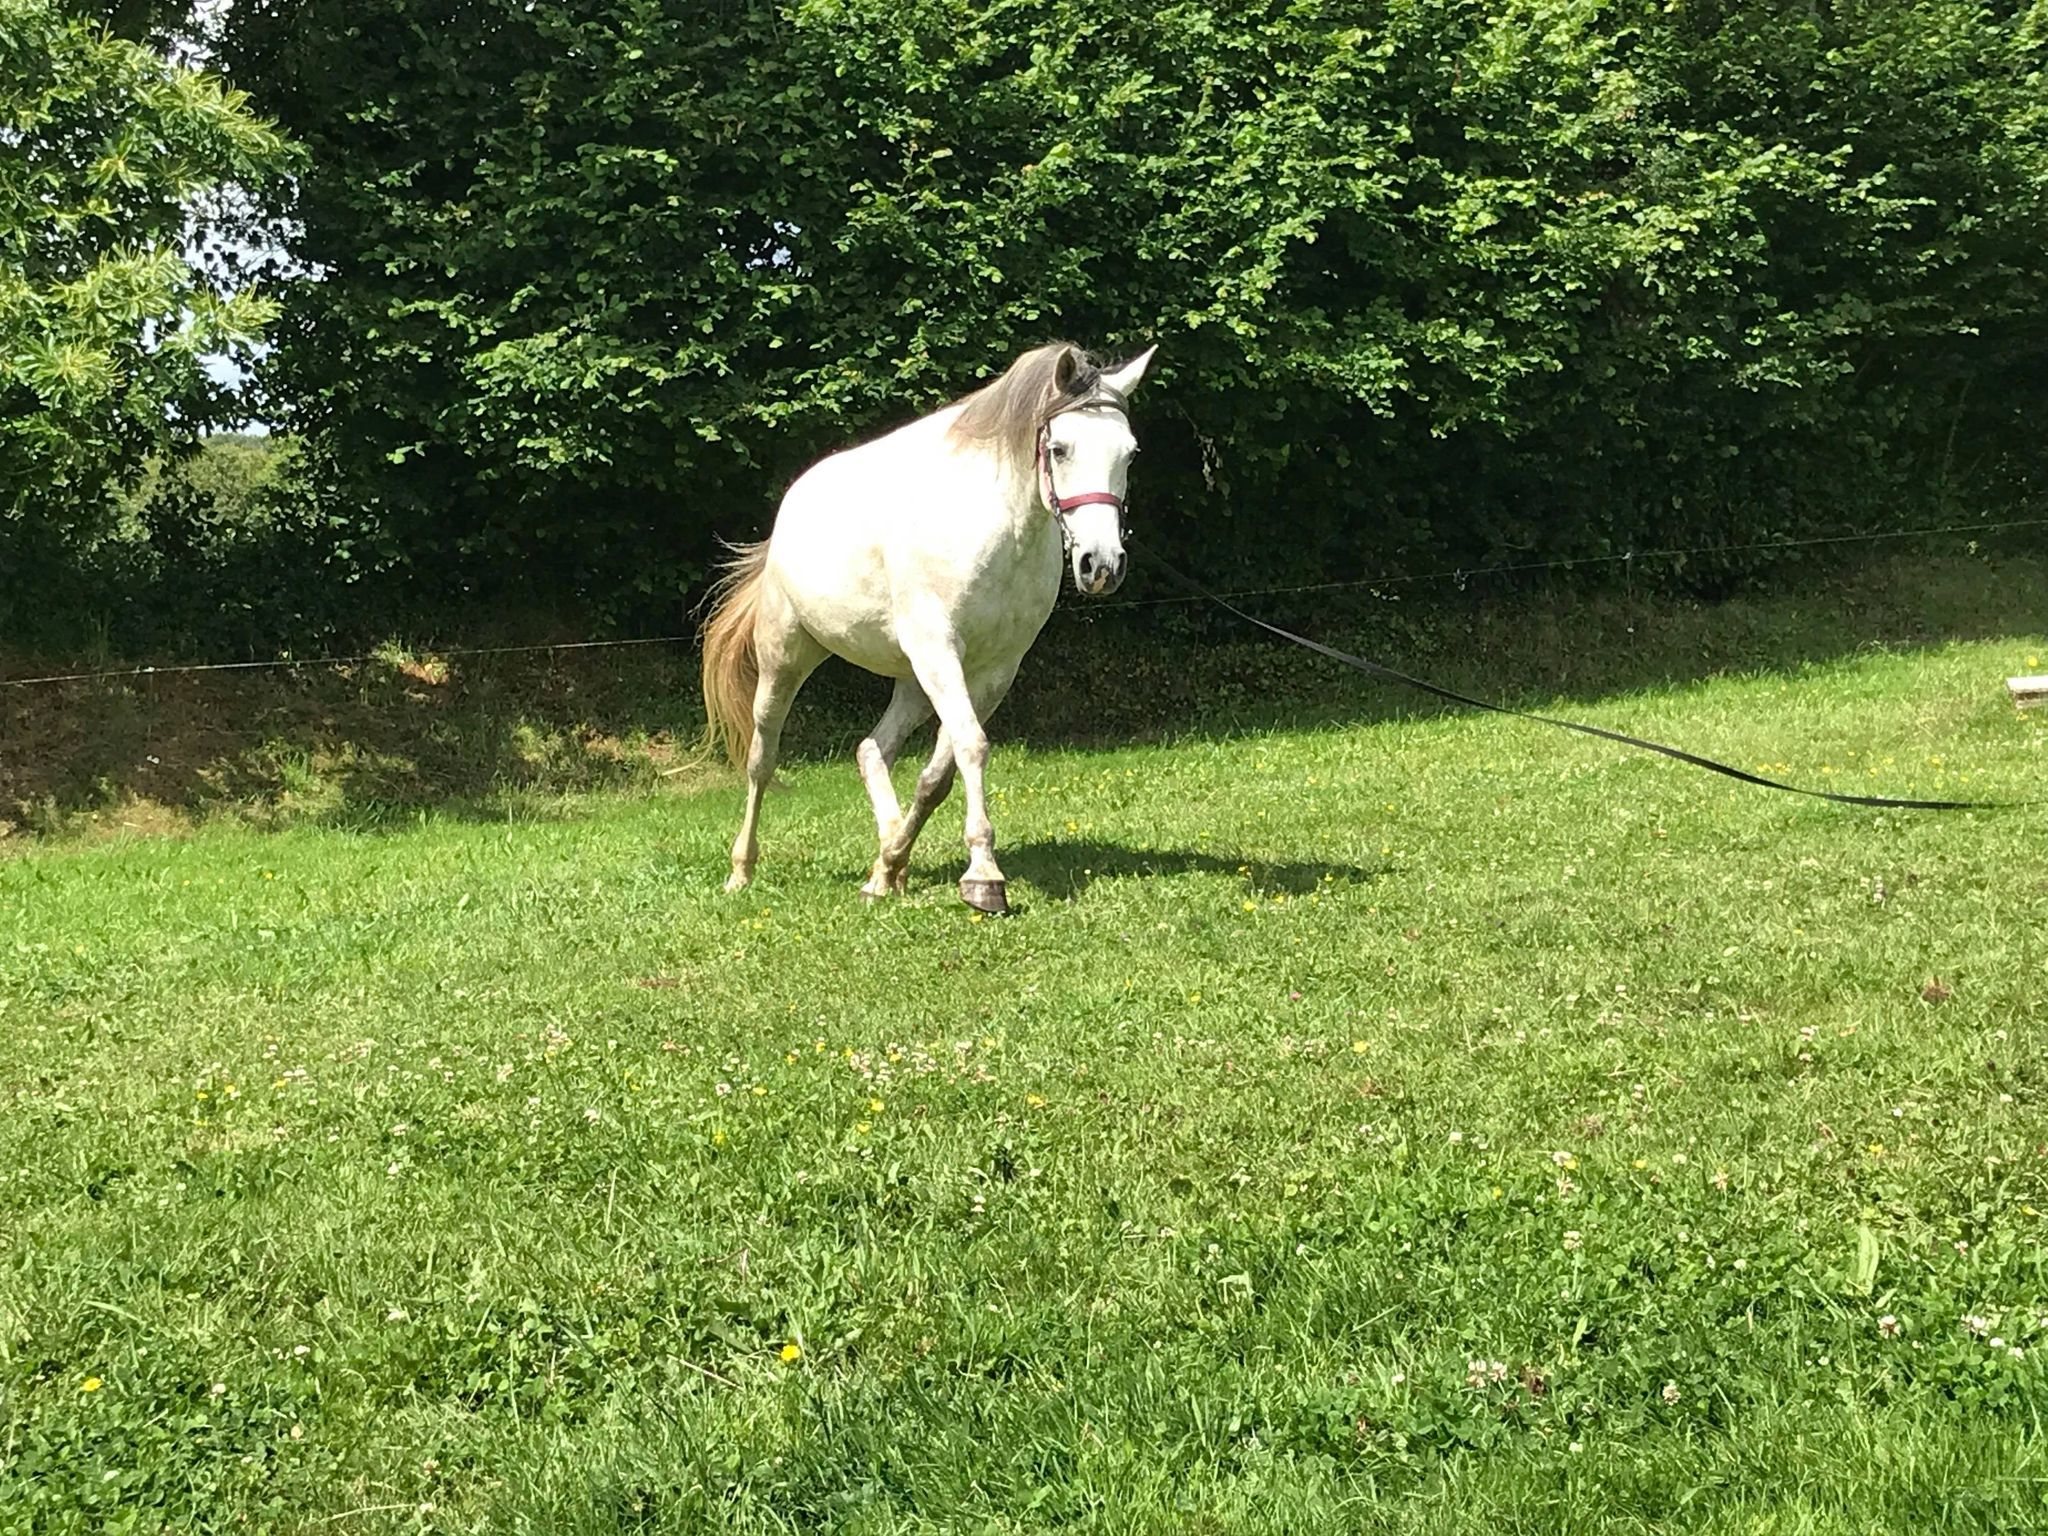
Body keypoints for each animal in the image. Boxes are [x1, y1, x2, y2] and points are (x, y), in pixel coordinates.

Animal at [698, 340, 1156, 914]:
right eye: (1060, 449)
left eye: (1130, 453)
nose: (1102, 565)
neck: (997, 532)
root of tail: (788, 514)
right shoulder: (940, 651)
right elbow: (972, 746)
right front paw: (985, 877)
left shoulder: (993, 671)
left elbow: (939, 774)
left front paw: (894, 865)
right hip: (786, 658)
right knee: (762, 760)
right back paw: (742, 871)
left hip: (911, 682)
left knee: (871, 750)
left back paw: (886, 865)